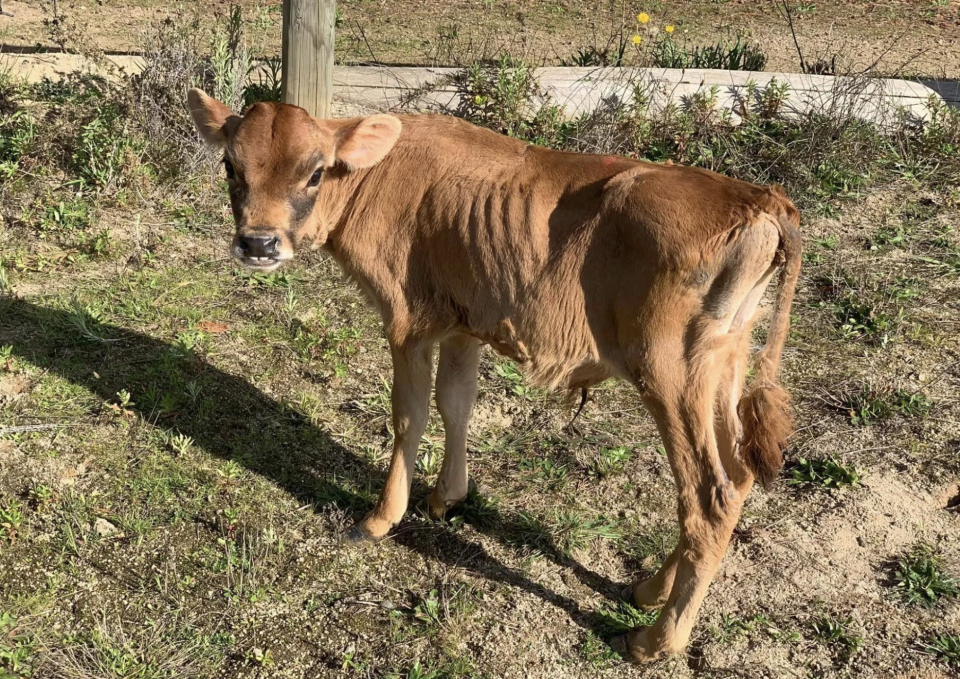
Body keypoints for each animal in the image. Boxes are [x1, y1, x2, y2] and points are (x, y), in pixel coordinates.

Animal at [184, 90, 800, 664]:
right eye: (231, 166)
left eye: (314, 171)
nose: (259, 242)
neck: (379, 175)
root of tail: (762, 201)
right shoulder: (463, 323)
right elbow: (456, 403)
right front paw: (445, 498)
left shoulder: (407, 320)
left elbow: (408, 415)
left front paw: (380, 518)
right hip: (721, 364)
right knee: (737, 475)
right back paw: (648, 589)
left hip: (671, 372)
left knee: (707, 497)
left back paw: (653, 640)